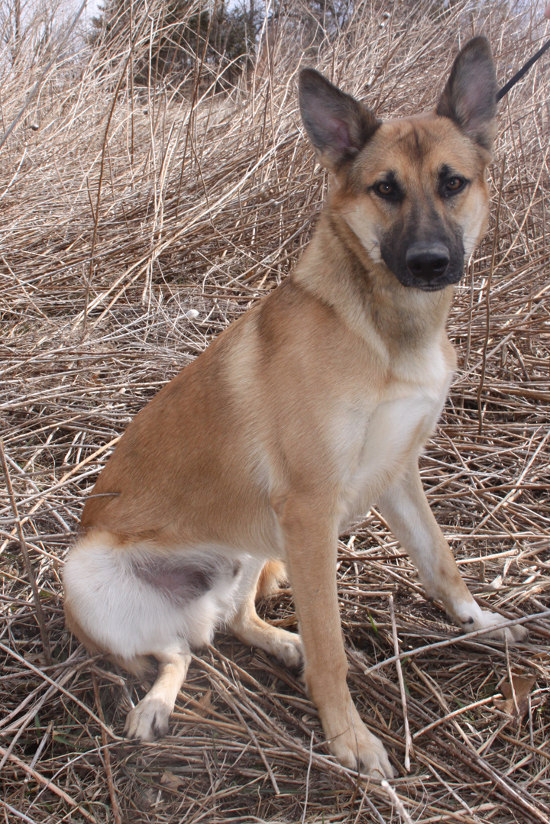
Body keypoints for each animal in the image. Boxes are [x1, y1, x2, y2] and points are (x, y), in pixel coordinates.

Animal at [62, 37, 528, 780]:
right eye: (386, 188)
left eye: (452, 182)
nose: (430, 263)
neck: (385, 330)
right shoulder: (311, 508)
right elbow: (333, 645)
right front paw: (349, 739)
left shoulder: (397, 475)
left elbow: (441, 561)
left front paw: (481, 623)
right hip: (88, 577)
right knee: (177, 651)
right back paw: (161, 704)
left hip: (255, 543)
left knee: (223, 625)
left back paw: (283, 644)